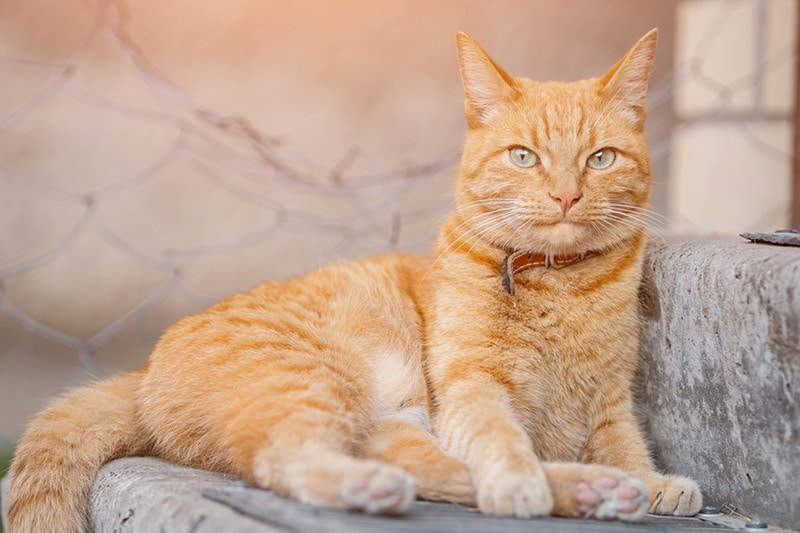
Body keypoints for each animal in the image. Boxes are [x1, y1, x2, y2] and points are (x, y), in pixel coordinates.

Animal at [10, 31, 700, 528]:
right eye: (523, 156)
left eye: (600, 158)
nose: (564, 195)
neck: (562, 287)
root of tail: (144, 371)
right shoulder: (471, 386)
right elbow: (501, 440)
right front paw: (519, 481)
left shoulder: (610, 401)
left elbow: (627, 448)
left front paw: (654, 484)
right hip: (319, 380)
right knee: (288, 459)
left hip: (391, 417)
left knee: (426, 468)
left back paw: (599, 490)